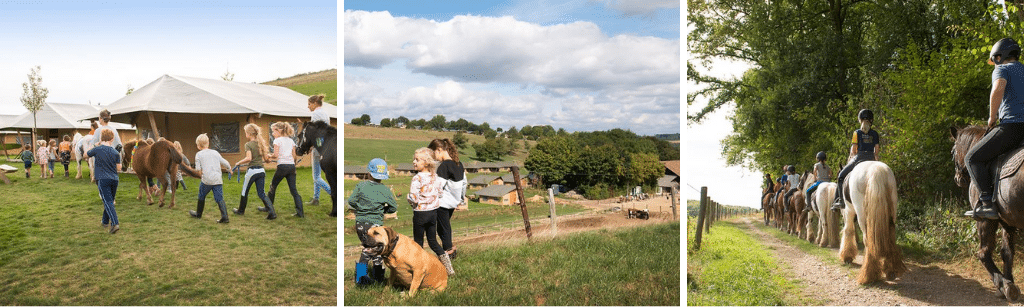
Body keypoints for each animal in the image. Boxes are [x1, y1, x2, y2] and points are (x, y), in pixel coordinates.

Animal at [950, 124, 1024, 298]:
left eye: (952, 151)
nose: (958, 178)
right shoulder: (1008, 221)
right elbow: (1007, 252)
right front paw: (1007, 283)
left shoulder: (985, 219)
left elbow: (984, 253)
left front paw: (1003, 284)